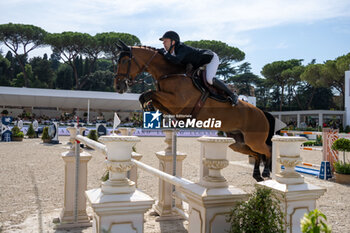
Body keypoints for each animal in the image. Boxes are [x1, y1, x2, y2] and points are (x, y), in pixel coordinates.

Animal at [115, 41, 276, 182]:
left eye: (124, 61)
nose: (118, 86)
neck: (170, 73)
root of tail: (262, 113)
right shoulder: (169, 104)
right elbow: (148, 96)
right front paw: (150, 110)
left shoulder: (176, 102)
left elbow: (148, 94)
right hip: (239, 143)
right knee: (257, 154)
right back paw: (257, 175)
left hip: (254, 140)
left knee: (267, 149)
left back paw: (267, 172)